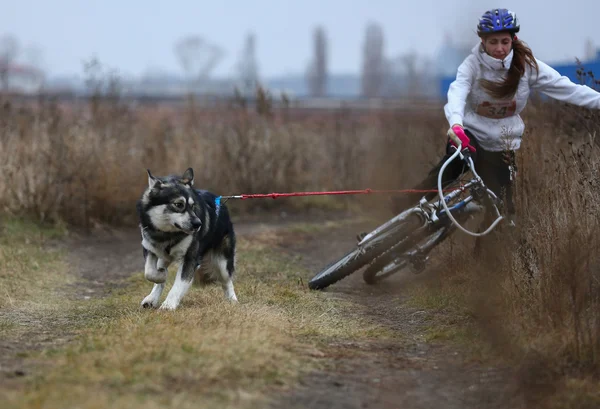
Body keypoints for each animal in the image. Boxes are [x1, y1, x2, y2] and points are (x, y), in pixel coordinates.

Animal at [137, 167, 238, 310]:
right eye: (179, 204)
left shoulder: (190, 258)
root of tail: (221, 203)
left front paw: (169, 305)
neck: (167, 234)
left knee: (226, 280)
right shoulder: (149, 248)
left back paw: (232, 299)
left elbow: (179, 284)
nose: (198, 224)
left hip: (222, 261)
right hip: (164, 257)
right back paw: (152, 298)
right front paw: (161, 276)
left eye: (192, 206)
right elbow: (149, 272)